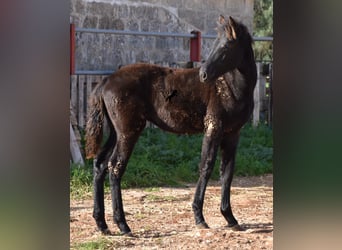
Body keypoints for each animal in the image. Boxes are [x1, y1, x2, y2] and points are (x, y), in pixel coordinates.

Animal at [85, 15, 256, 234]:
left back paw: (102, 224)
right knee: (115, 166)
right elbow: (206, 166)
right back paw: (122, 224)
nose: (203, 74)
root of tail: (105, 81)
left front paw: (230, 218)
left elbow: (227, 172)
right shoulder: (213, 127)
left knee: (100, 164)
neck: (230, 86)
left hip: (116, 132)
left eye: (226, 46)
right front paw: (199, 217)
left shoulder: (233, 132)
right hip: (128, 131)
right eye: (215, 44)